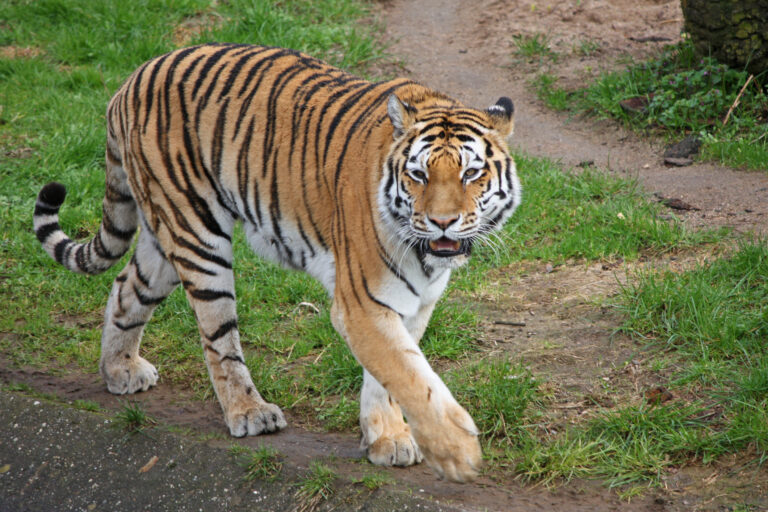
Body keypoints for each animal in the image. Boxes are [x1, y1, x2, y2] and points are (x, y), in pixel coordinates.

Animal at [33, 43, 520, 482]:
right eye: (418, 175)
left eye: (471, 173)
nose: (443, 222)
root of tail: (132, 79)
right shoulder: (362, 303)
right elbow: (410, 377)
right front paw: (457, 453)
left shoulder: (413, 304)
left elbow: (390, 377)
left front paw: (388, 439)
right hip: (197, 235)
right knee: (218, 336)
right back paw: (249, 411)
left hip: (161, 239)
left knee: (125, 290)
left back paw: (120, 370)